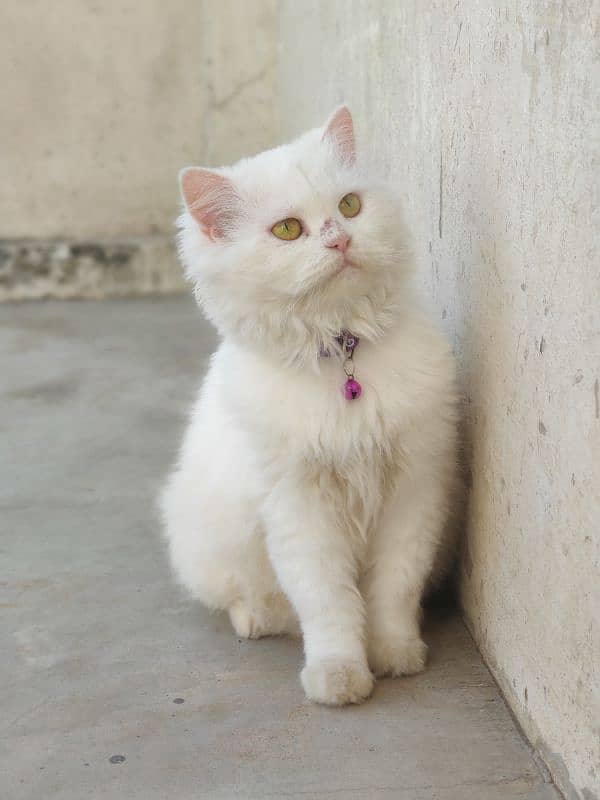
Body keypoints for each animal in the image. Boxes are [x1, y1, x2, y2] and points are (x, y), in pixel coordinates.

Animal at [161, 108, 460, 708]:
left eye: (349, 206)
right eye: (287, 230)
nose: (340, 240)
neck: (342, 347)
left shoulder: (415, 489)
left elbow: (395, 587)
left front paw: (396, 654)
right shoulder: (299, 507)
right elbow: (328, 604)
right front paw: (339, 677)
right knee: (253, 600)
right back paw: (256, 620)